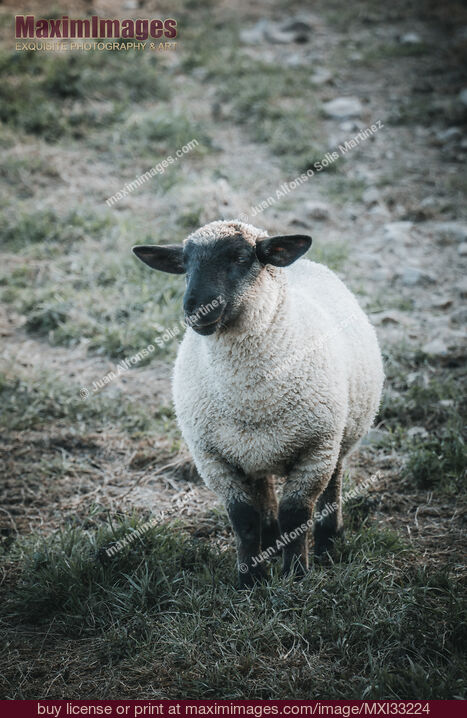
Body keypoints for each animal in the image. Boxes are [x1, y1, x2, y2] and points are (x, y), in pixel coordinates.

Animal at [133, 220, 384, 587]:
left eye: (241, 257)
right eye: (185, 265)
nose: (195, 308)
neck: (252, 400)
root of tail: (305, 263)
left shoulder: (315, 451)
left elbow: (296, 516)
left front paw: (296, 575)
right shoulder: (214, 459)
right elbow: (244, 518)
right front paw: (250, 579)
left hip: (338, 438)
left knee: (332, 485)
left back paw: (328, 541)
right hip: (253, 452)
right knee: (264, 494)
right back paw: (271, 542)